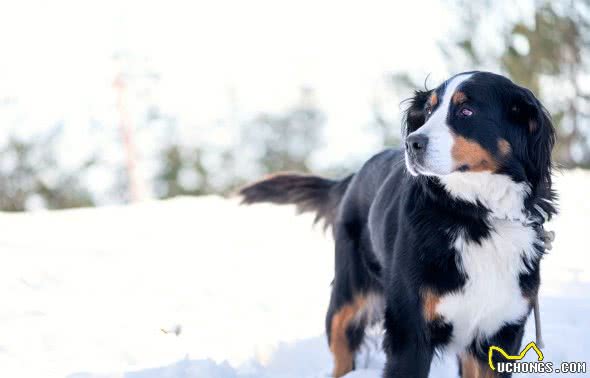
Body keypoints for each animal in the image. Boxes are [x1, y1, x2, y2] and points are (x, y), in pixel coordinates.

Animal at [238, 71, 556, 378]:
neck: (475, 214)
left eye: (466, 111)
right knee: (342, 346)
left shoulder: (500, 330)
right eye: (428, 111)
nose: (412, 143)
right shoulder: (410, 330)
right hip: (347, 295)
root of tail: (353, 176)